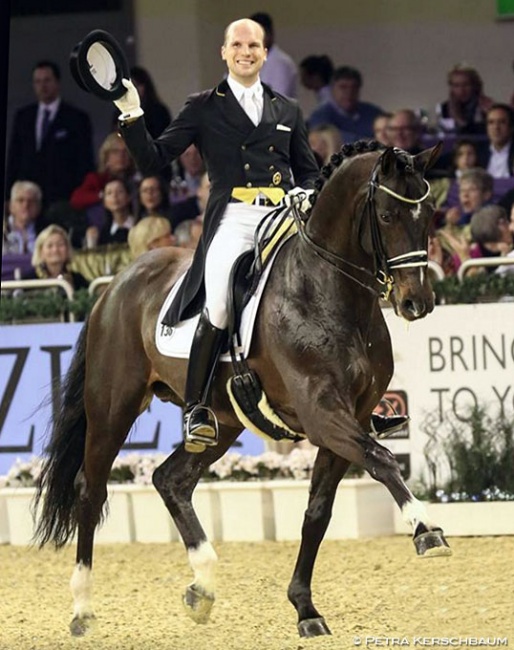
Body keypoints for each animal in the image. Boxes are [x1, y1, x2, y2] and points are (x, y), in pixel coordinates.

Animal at [34, 140, 448, 632]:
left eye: (430, 215)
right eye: (386, 216)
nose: (416, 302)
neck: (327, 291)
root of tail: (116, 284)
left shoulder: (352, 419)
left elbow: (319, 511)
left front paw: (305, 608)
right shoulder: (322, 414)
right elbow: (383, 459)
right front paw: (426, 530)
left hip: (223, 421)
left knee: (170, 479)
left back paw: (202, 586)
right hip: (112, 408)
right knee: (90, 489)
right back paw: (82, 608)